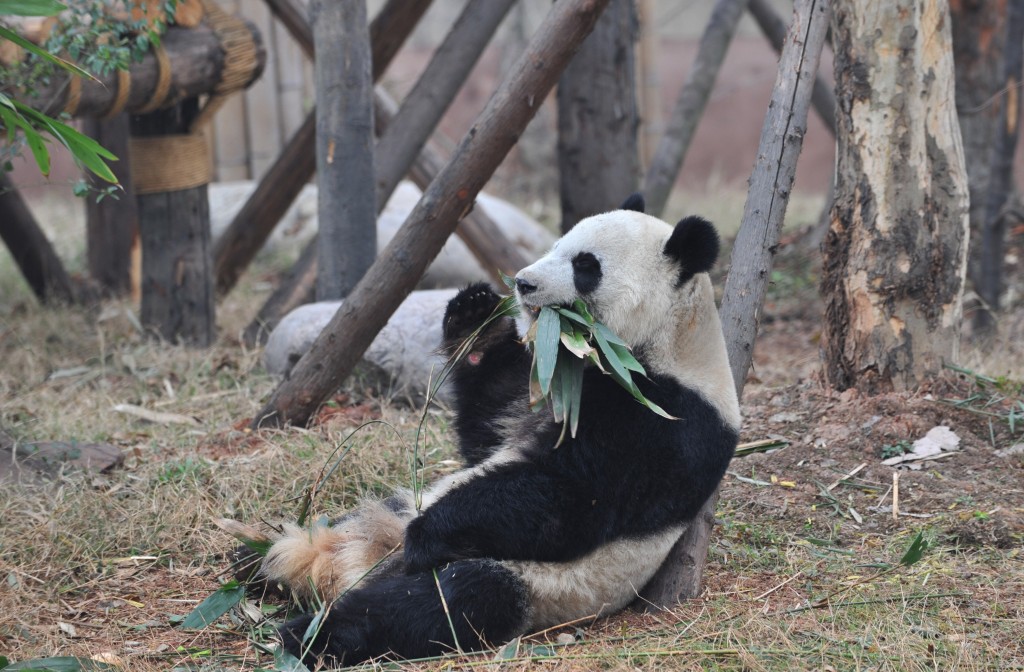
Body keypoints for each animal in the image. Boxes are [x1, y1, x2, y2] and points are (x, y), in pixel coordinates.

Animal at [251, 194, 741, 667]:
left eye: (585, 266)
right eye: (556, 245)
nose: (523, 283)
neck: (670, 340)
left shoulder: (663, 420)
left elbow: (569, 499)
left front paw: (427, 535)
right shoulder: (547, 380)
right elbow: (486, 430)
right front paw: (476, 317)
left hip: (536, 582)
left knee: (441, 601)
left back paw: (307, 632)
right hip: (397, 503)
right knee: (336, 528)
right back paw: (260, 565)